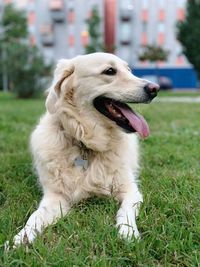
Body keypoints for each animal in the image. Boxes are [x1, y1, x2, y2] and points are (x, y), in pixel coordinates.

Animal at [12, 52, 159, 247]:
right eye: (109, 71)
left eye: (129, 70)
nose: (155, 88)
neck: (86, 143)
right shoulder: (55, 198)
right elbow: (35, 217)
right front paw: (20, 239)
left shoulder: (130, 190)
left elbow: (125, 212)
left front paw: (128, 232)